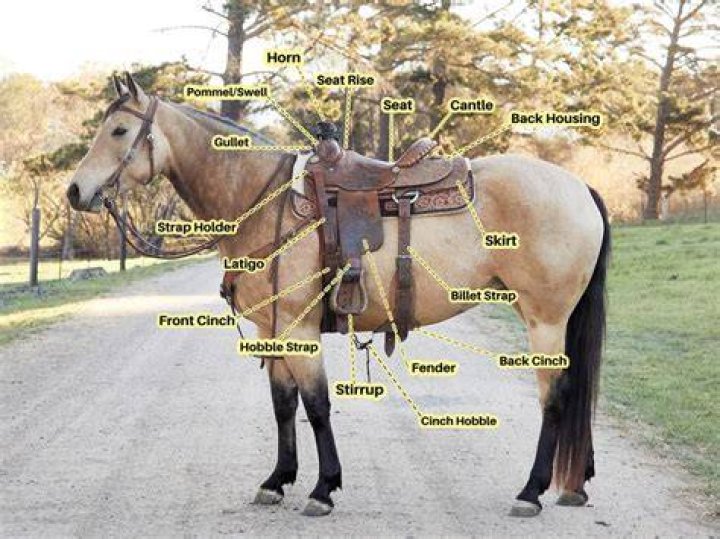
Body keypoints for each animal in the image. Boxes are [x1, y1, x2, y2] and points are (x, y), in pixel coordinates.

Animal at [67, 73, 610, 518]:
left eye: (118, 131)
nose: (75, 191)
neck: (265, 202)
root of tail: (580, 186)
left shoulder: (299, 326)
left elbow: (317, 405)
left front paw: (323, 488)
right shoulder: (272, 330)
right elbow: (283, 404)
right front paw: (277, 480)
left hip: (545, 319)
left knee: (555, 397)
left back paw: (531, 491)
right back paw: (574, 485)